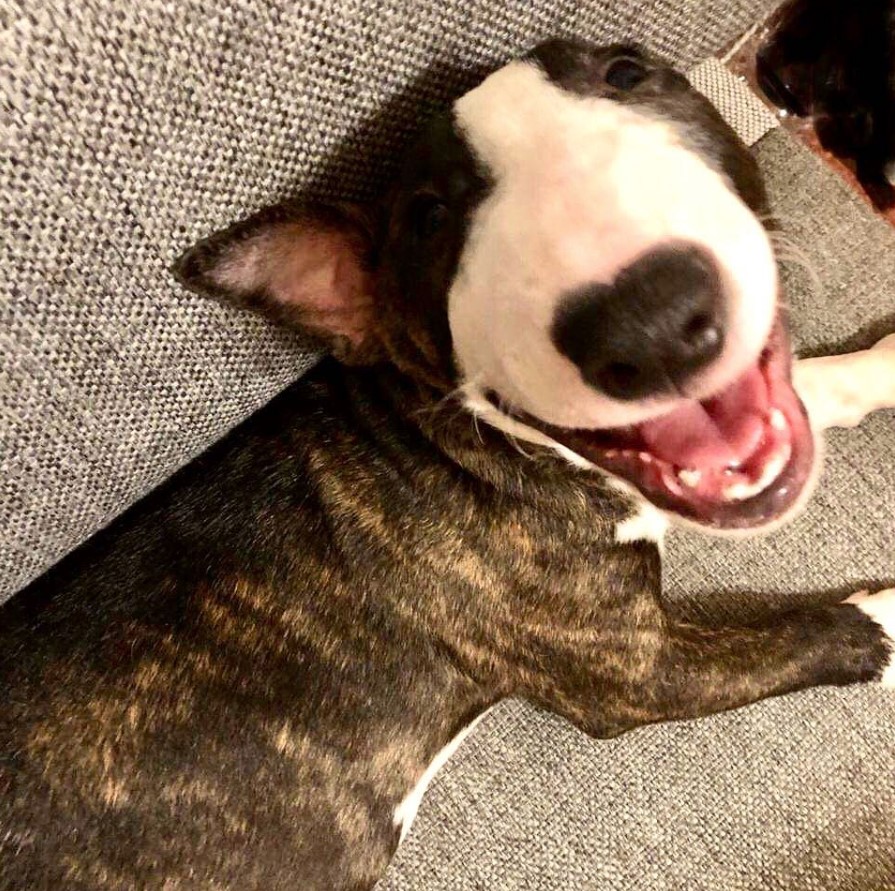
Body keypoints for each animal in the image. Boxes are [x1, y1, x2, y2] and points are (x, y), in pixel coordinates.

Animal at [1, 40, 895, 891]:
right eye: (428, 218)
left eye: (625, 71)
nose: (649, 320)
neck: (440, 437)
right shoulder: (634, 672)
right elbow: (813, 632)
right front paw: (883, 618)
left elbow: (810, 388)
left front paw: (881, 365)